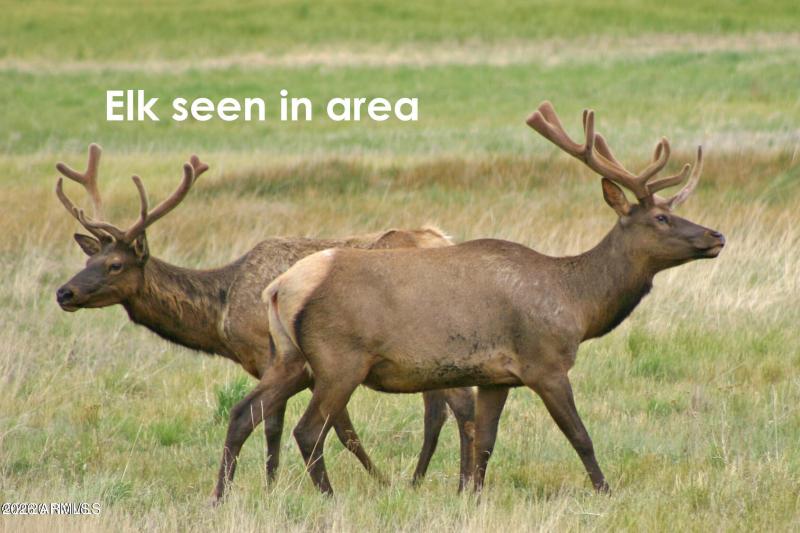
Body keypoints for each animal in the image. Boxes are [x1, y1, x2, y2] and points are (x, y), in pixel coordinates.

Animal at [53, 145, 476, 503]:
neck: (221, 313)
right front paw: (273, 486)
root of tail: (442, 238)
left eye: (115, 265)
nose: (64, 293)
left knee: (443, 409)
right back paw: (425, 479)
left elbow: (296, 427)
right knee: (439, 410)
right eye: (89, 260)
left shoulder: (268, 355)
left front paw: (372, 481)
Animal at [263, 102, 726, 496]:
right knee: (308, 430)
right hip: (339, 359)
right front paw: (605, 490)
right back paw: (329, 496)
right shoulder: (545, 363)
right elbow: (580, 436)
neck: (577, 305)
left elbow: (485, 441)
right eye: (661, 218)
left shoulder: (496, 376)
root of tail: (281, 287)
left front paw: (473, 495)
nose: (716, 235)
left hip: (299, 360)